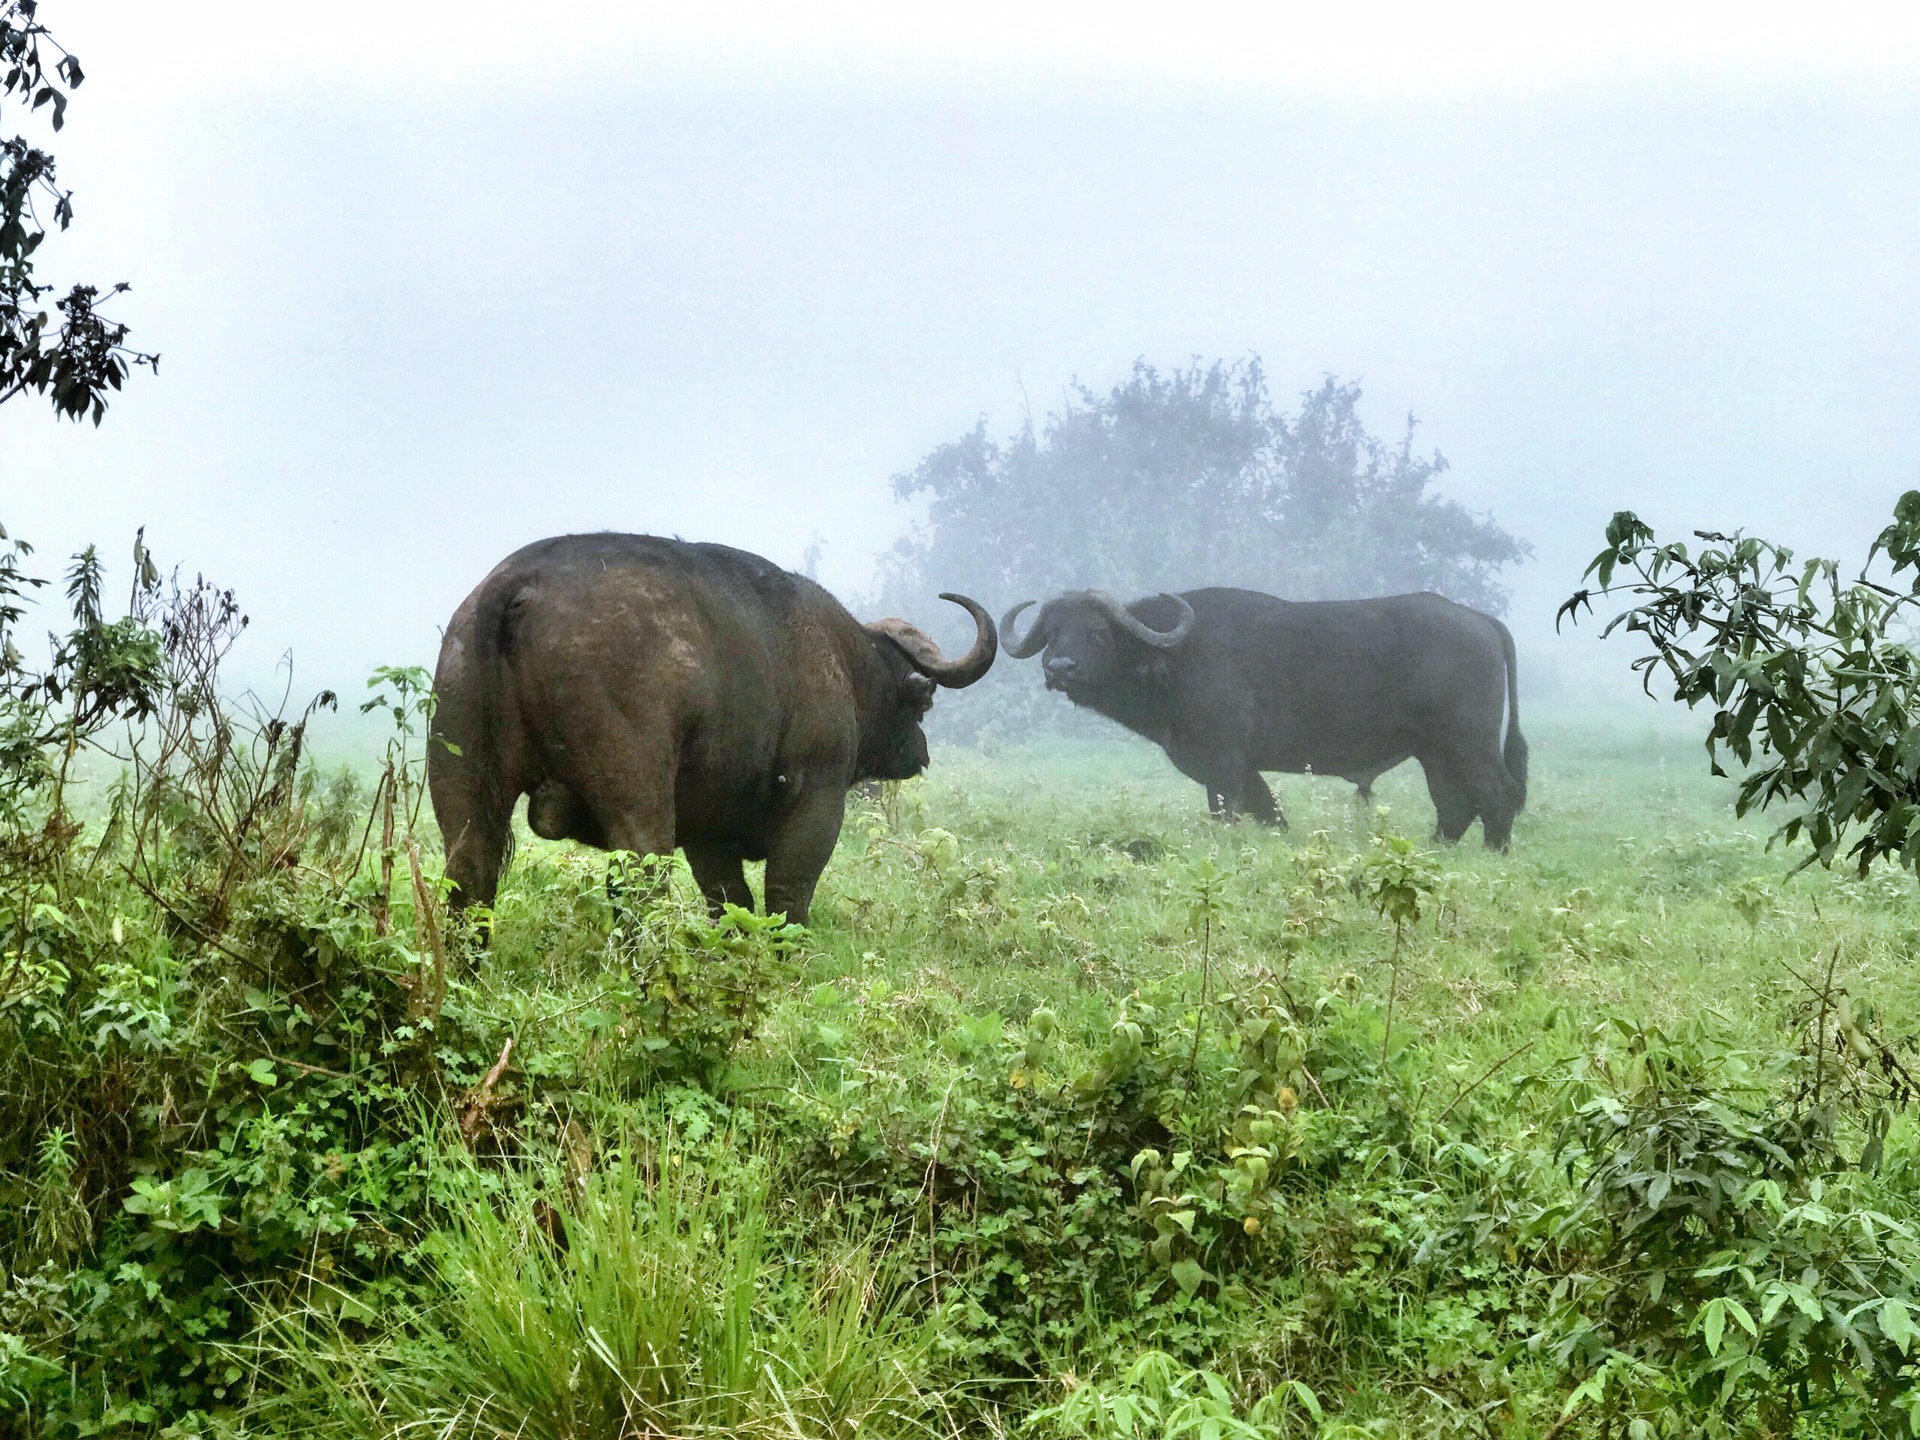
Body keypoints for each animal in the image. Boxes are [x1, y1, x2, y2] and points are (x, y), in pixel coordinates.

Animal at [430, 537, 998, 929]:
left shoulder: (708, 833)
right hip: (637, 800)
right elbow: (788, 892)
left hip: (461, 787)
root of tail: (517, 586)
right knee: (641, 882)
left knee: (469, 874)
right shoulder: (817, 801)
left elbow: (731, 903)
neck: (841, 659)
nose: (920, 753)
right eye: (922, 704)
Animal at [998, 587, 1520, 852]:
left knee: (1497, 796)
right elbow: (1271, 813)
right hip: (1434, 752)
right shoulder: (1244, 770)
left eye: (1099, 632)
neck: (1174, 657)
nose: (1059, 668)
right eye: (1052, 632)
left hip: (1468, 743)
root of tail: (1482, 621)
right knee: (1454, 805)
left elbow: (1228, 812)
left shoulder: (1224, 763)